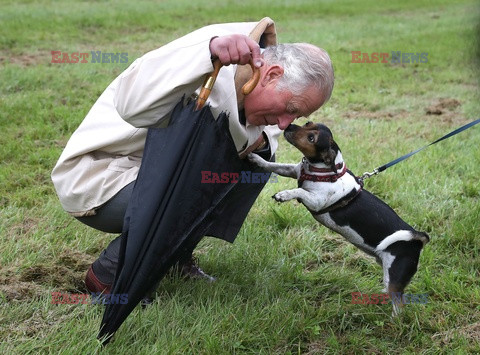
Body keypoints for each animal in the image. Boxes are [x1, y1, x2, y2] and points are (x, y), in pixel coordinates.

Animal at [249, 121, 430, 314]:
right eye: (307, 124)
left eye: (311, 138)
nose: (289, 126)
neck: (322, 171)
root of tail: (418, 238)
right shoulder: (292, 170)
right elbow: (274, 166)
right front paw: (257, 159)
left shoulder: (316, 201)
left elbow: (299, 190)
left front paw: (284, 194)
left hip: (394, 278)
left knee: (400, 304)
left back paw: (394, 320)